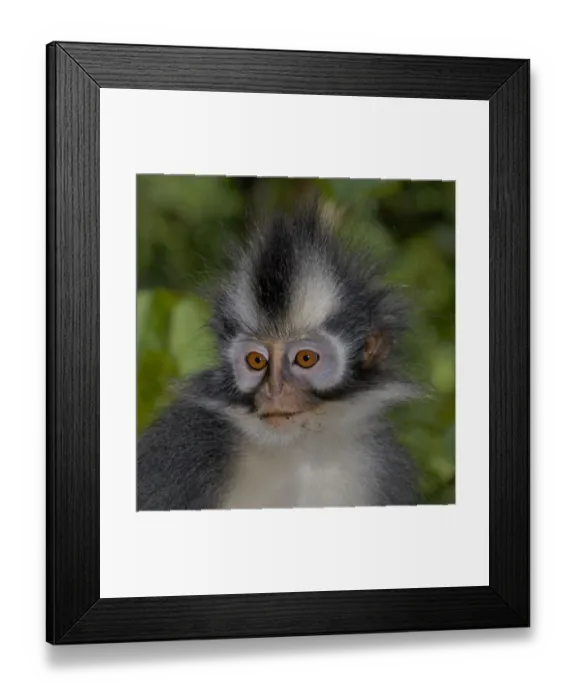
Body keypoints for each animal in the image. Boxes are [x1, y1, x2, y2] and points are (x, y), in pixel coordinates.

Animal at [136, 203, 421, 510]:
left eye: (306, 358)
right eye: (256, 361)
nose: (274, 391)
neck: (298, 449)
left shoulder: (384, 465)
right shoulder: (188, 444)